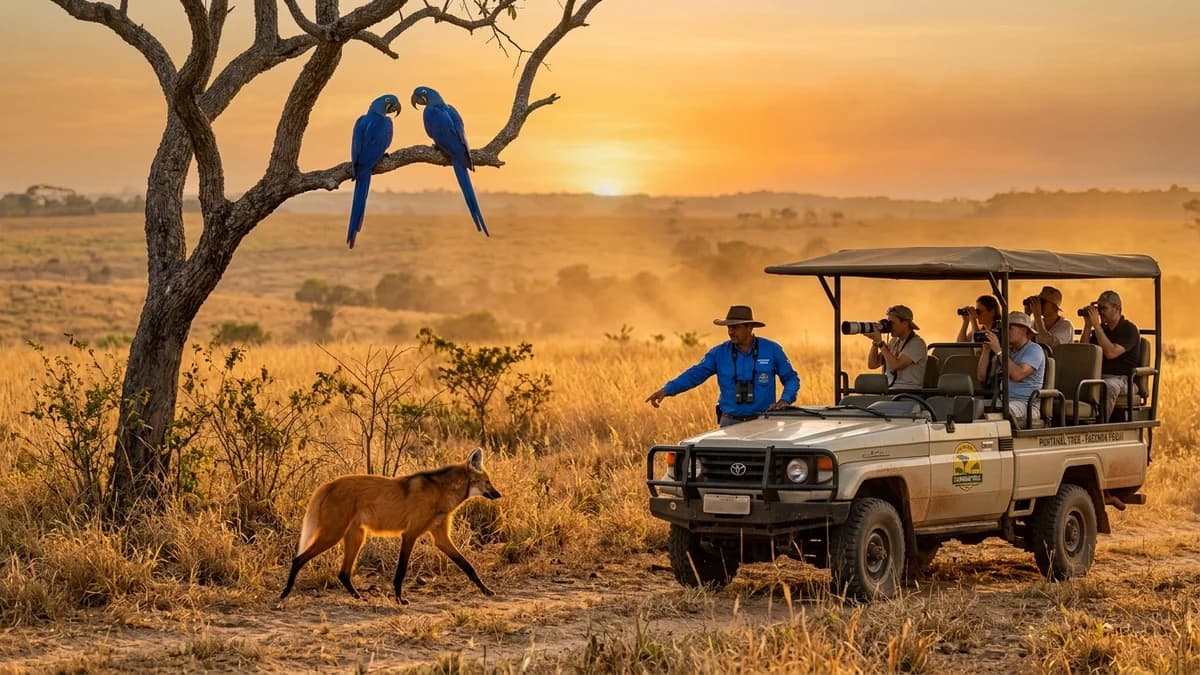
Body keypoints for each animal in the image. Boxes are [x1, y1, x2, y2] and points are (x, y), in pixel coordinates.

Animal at [279, 447, 501, 605]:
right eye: (487, 482)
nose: (499, 494)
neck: (441, 494)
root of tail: (328, 484)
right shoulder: (410, 534)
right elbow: (401, 571)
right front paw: (400, 599)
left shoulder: (440, 538)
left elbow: (468, 566)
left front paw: (486, 590)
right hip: (333, 534)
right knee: (298, 559)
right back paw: (285, 593)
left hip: (356, 536)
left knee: (343, 573)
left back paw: (359, 597)